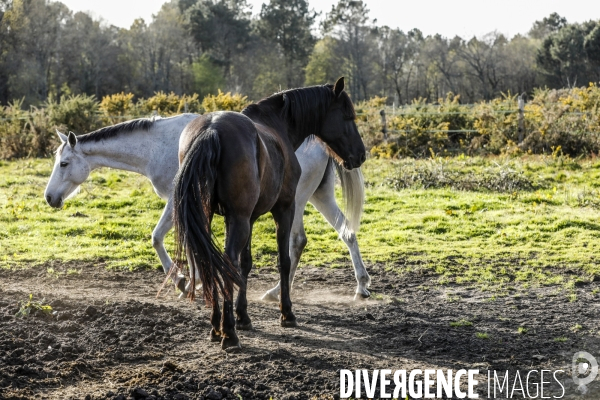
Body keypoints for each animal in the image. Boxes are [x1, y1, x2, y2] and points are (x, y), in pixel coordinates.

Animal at [43, 114, 370, 298]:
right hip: (320, 196)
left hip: (297, 200)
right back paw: (361, 286)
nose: (49, 197)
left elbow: (158, 238)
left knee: (297, 242)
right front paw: (194, 281)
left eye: (64, 163)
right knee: (347, 233)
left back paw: (278, 292)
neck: (156, 144)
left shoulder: (177, 201)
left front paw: (183, 281)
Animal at [171, 77, 364, 350]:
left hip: (211, 218)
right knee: (228, 261)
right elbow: (283, 260)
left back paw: (216, 326)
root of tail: (212, 129)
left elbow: (245, 264)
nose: (361, 154)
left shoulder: (247, 218)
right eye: (347, 116)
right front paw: (287, 314)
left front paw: (243, 316)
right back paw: (228, 333)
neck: (277, 125)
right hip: (244, 218)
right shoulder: (283, 209)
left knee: (209, 261)